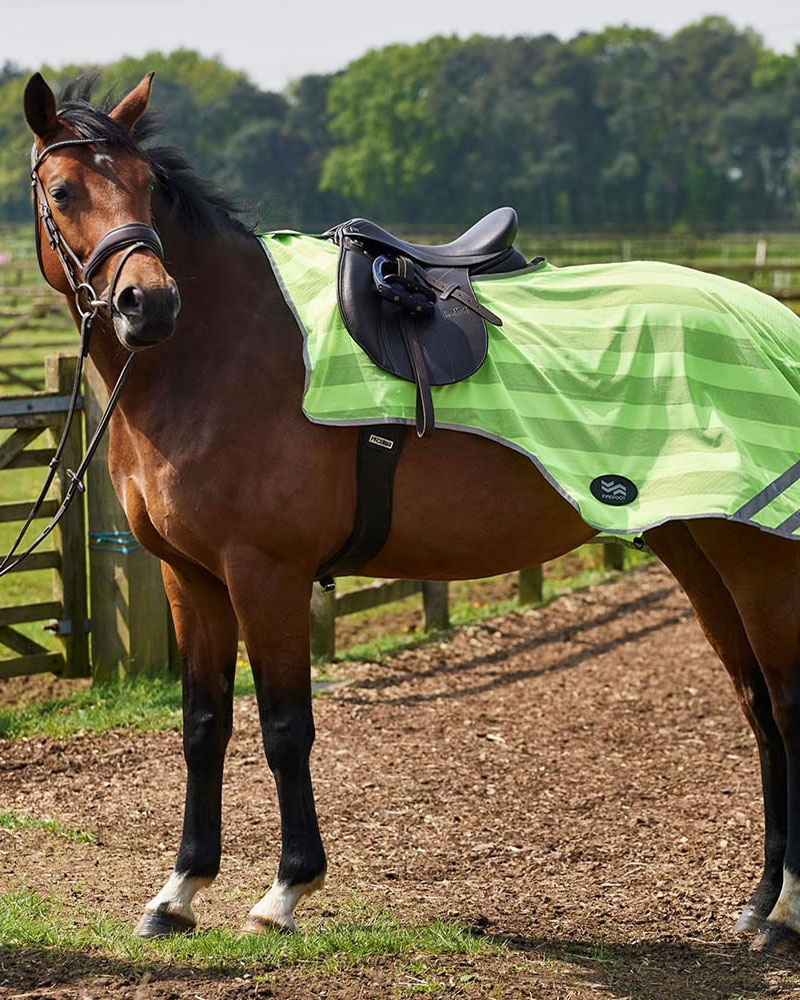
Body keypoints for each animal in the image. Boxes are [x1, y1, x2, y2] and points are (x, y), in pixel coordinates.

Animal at [20, 70, 800, 956]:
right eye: (62, 190)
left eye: (145, 184)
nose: (146, 305)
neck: (221, 354)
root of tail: (773, 319)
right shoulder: (192, 578)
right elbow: (204, 725)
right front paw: (180, 891)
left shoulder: (267, 575)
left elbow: (284, 727)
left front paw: (286, 890)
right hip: (697, 551)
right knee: (758, 709)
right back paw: (759, 906)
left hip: (756, 559)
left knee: (787, 708)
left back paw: (786, 909)